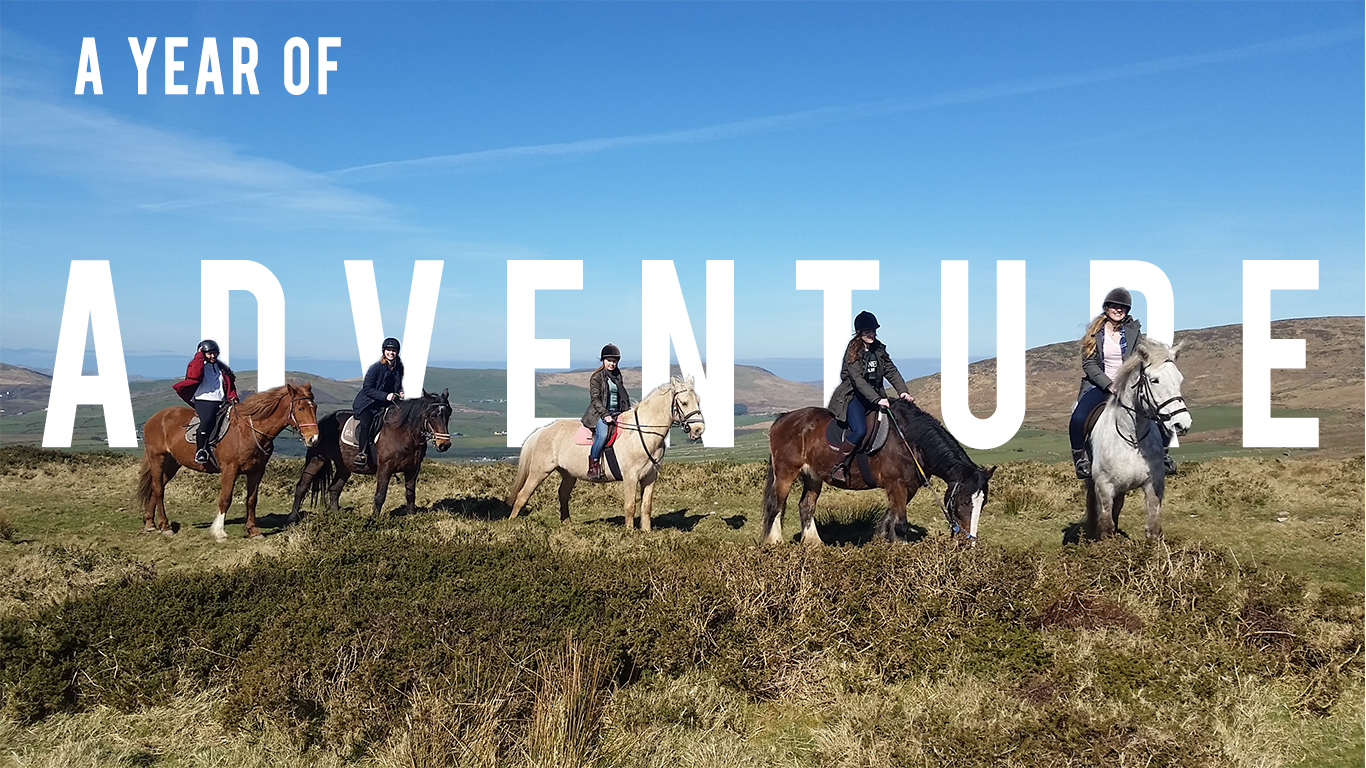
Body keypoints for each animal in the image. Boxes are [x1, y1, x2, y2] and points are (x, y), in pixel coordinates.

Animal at [137, 383, 320, 541]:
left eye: (315, 408)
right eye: (300, 408)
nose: (314, 438)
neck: (249, 431)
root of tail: (155, 418)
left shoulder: (257, 471)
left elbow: (251, 500)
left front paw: (253, 530)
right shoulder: (230, 470)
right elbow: (225, 498)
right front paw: (219, 531)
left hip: (172, 463)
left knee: (156, 487)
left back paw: (150, 523)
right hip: (157, 458)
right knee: (158, 489)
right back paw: (165, 526)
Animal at [288, 389, 453, 520]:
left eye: (448, 414)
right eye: (432, 415)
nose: (444, 445)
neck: (403, 432)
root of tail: (319, 424)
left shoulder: (413, 469)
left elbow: (410, 494)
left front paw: (411, 517)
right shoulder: (385, 468)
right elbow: (380, 496)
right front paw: (375, 520)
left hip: (344, 467)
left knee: (334, 489)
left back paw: (336, 516)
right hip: (316, 460)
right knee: (302, 486)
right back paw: (293, 517)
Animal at [506, 375, 705, 530]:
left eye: (698, 401)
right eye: (684, 403)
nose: (698, 430)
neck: (642, 431)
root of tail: (542, 431)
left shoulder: (650, 477)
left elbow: (646, 506)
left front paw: (646, 532)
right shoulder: (630, 477)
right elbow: (630, 505)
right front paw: (629, 533)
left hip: (569, 474)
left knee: (563, 494)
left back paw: (567, 524)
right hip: (539, 472)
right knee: (522, 496)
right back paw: (512, 524)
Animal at [761, 399, 995, 546]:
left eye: (983, 503)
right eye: (963, 502)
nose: (967, 544)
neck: (909, 441)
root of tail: (782, 419)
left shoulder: (907, 488)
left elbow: (890, 517)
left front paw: (882, 542)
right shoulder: (896, 484)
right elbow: (900, 523)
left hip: (813, 477)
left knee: (806, 506)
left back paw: (813, 543)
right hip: (785, 472)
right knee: (776, 505)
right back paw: (775, 543)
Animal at [1083, 338, 1192, 540]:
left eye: (1180, 379)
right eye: (1154, 380)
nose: (1182, 423)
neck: (1132, 438)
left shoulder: (1154, 484)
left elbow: (1153, 528)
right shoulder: (1104, 488)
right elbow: (1106, 527)